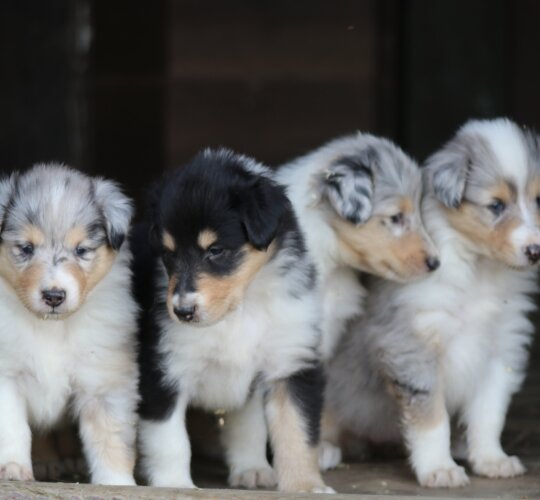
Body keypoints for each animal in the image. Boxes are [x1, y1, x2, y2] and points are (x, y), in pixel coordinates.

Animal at [0, 164, 139, 484]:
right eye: (26, 248)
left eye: (82, 250)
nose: (54, 296)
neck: (50, 326)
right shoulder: (6, 375)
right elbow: (12, 426)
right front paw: (12, 468)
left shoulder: (103, 379)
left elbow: (109, 437)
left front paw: (117, 483)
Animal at [133, 147, 332, 492]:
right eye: (169, 254)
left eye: (215, 250)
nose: (182, 311)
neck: (240, 309)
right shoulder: (163, 369)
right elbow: (170, 440)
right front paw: (175, 486)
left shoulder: (291, 361)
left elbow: (296, 431)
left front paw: (305, 486)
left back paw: (253, 468)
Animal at [324, 118, 540, 488]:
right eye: (496, 205)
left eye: (538, 200)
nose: (535, 251)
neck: (478, 272)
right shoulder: (414, 347)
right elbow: (431, 419)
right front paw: (439, 469)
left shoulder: (501, 349)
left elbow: (489, 414)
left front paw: (492, 460)